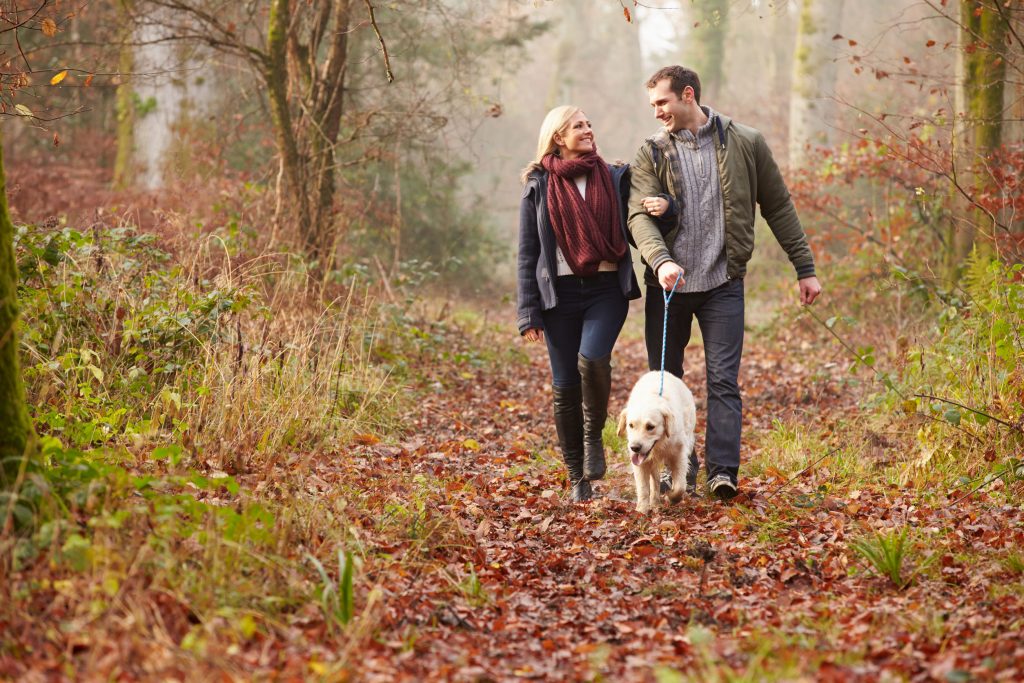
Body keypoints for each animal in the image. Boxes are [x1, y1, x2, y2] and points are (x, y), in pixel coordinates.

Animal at [614, 374, 696, 511]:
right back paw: (655, 502)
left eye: (650, 427)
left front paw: (671, 497)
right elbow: (643, 487)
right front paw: (642, 509)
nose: (635, 447)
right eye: (631, 425)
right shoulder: (639, 462)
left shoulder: (679, 454)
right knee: (655, 479)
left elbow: (680, 486)